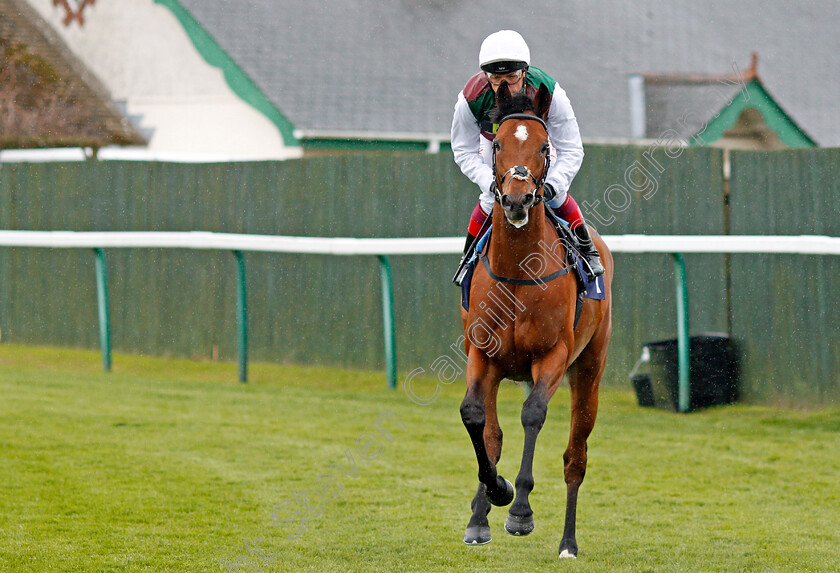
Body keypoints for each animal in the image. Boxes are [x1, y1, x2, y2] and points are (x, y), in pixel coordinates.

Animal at [460, 81, 612, 560]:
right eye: (497, 146)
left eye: (544, 145)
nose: (515, 198)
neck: (518, 272)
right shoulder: (482, 355)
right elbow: (477, 421)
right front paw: (495, 494)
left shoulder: (553, 356)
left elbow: (533, 415)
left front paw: (520, 510)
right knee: (493, 434)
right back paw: (480, 516)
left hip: (589, 370)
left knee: (575, 457)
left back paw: (568, 542)